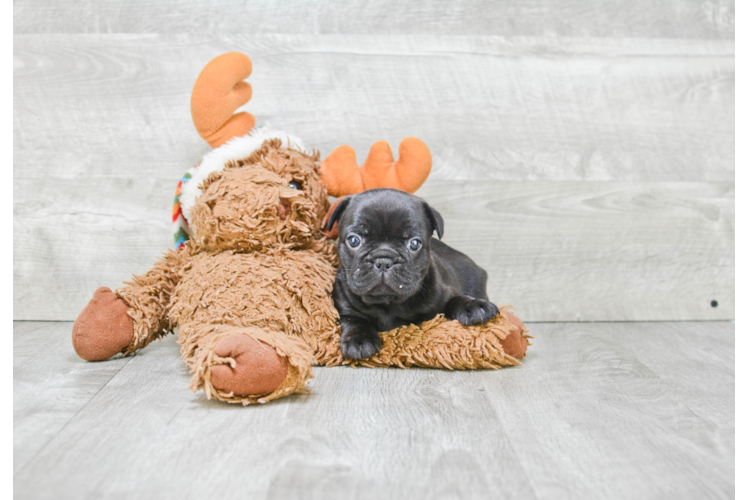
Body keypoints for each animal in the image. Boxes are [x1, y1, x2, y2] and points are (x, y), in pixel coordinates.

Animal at [324, 188, 500, 360]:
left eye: (414, 243)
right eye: (354, 240)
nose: (384, 260)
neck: (388, 304)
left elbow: (455, 299)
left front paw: (474, 306)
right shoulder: (343, 303)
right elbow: (352, 318)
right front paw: (359, 339)